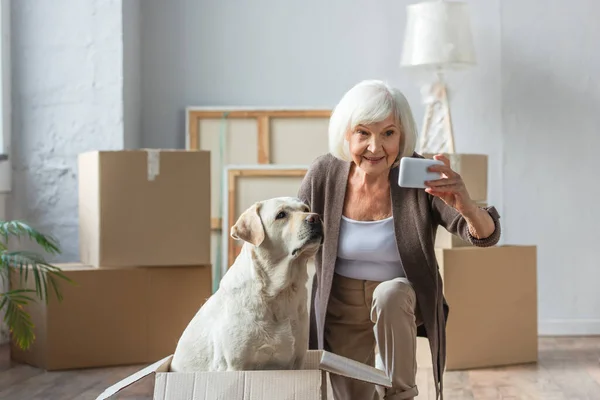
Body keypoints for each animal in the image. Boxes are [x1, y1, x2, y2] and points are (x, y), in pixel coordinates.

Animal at [169, 196, 324, 372]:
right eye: (281, 215)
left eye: (306, 209)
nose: (315, 217)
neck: (280, 292)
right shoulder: (236, 366)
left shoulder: (298, 361)